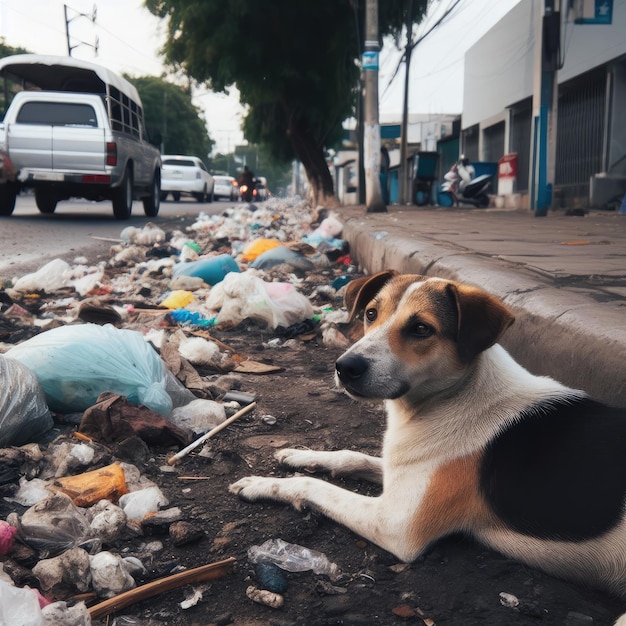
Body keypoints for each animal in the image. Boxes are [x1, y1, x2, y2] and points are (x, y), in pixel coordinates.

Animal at [229, 270, 624, 616]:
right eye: (370, 314)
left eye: (421, 329)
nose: (345, 366)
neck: (453, 395)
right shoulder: (403, 470)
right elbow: (350, 456)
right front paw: (300, 454)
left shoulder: (396, 523)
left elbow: (316, 486)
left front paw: (263, 484)